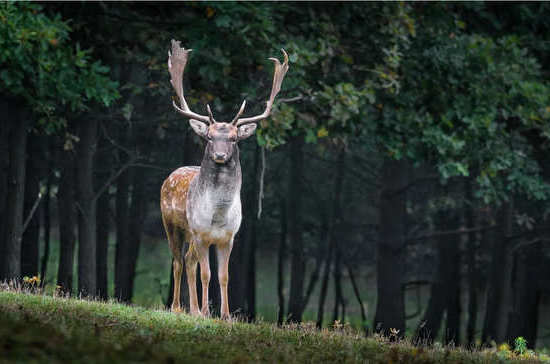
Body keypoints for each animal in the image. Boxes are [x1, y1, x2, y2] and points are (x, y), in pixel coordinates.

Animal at [160, 39, 288, 318]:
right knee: (178, 261)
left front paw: (226, 315)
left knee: (188, 261)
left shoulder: (228, 237)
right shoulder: (201, 233)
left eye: (233, 138)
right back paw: (178, 308)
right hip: (173, 225)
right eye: (209, 136)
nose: (219, 155)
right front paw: (206, 312)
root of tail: (171, 175)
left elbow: (224, 276)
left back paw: (192, 309)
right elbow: (206, 274)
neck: (218, 216)